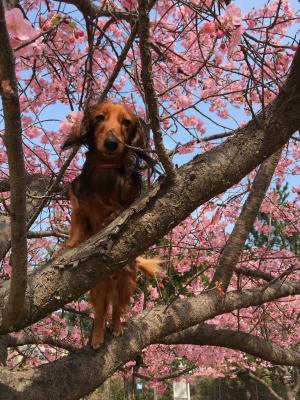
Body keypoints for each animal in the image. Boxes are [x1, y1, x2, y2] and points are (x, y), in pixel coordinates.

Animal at [62, 101, 163, 350]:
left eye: (126, 122)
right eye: (99, 117)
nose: (111, 143)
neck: (105, 170)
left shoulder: (125, 203)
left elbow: (117, 211)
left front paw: (110, 218)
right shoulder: (79, 207)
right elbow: (77, 227)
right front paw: (69, 246)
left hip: (126, 283)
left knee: (117, 309)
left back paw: (116, 328)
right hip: (98, 287)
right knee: (101, 312)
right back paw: (97, 337)